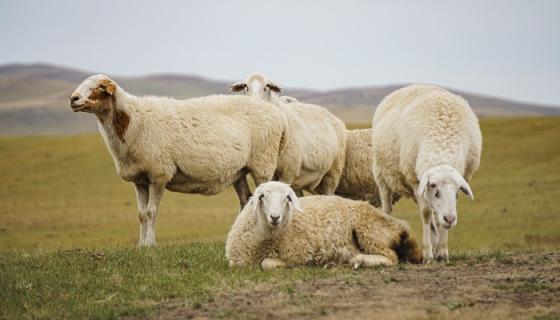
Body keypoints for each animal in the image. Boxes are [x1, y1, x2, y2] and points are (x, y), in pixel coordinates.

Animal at [69, 74, 294, 246]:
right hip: (238, 171)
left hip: (262, 165)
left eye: (99, 87)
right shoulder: (139, 179)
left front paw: (150, 245)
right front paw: (140, 245)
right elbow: (141, 214)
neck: (131, 121)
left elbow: (151, 212)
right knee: (245, 201)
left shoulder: (159, 174)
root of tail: (279, 115)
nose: (73, 98)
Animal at [225, 181, 422, 268]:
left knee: (391, 258)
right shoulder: (236, 262)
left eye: (287, 198)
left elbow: (268, 263)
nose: (275, 217)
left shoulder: (300, 254)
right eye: (262, 196)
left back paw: (357, 260)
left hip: (368, 231)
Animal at [372, 84, 482, 262]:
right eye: (433, 186)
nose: (450, 219)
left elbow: (438, 218)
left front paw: (442, 252)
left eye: (458, 192)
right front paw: (428, 254)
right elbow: (425, 214)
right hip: (382, 176)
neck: (443, 145)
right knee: (387, 206)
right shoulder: (416, 181)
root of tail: (410, 85)